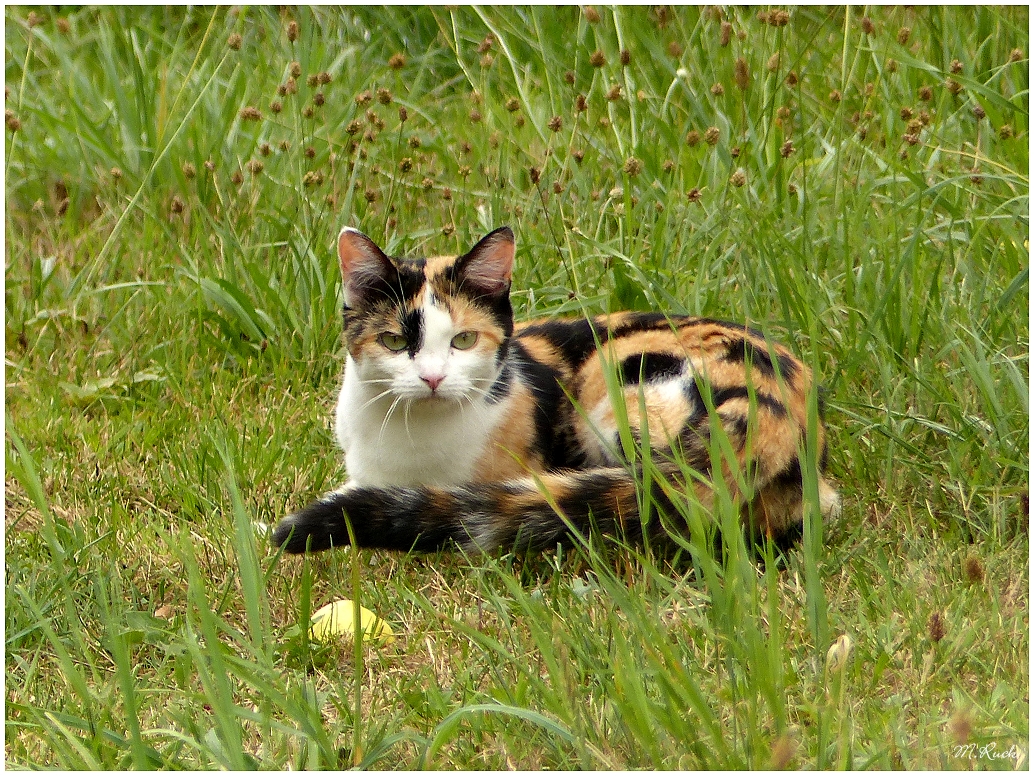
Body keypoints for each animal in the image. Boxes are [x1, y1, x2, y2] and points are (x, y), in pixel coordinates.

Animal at [270, 227, 835, 554]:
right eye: (393, 340)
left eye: (463, 340)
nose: (431, 378)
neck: (413, 443)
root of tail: (781, 396)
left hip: (621, 400)